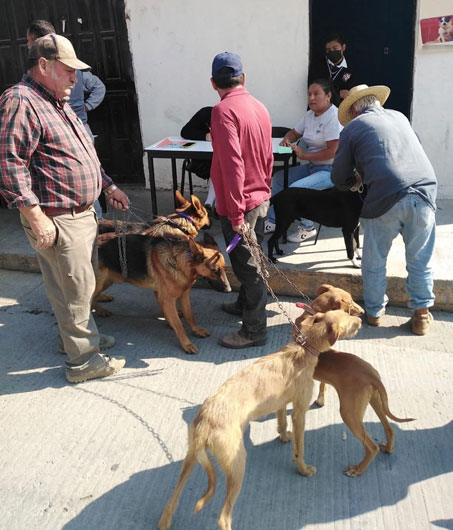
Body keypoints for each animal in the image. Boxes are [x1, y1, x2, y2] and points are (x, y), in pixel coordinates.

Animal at [94, 232, 231, 352]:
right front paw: (186, 343)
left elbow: (189, 315)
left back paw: (102, 305)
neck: (180, 261)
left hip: (108, 280)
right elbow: (179, 325)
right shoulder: (167, 299)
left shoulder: (183, 295)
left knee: (94, 298)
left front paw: (196, 330)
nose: (229, 290)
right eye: (215, 270)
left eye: (225, 268)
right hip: (100, 282)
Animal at [157, 310, 362, 528]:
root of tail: (206, 422)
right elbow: (299, 449)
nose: (361, 319)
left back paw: (165, 521)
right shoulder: (299, 412)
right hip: (237, 464)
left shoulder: (281, 402)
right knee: (223, 517)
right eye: (349, 318)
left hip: (190, 459)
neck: (303, 347)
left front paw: (284, 437)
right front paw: (304, 470)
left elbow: (281, 422)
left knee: (173, 498)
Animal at [280, 282, 414, 476]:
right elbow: (323, 384)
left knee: (371, 446)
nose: (362, 311)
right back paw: (388, 448)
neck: (312, 314)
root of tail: (371, 375)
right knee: (389, 429)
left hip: (349, 412)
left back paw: (357, 470)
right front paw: (320, 400)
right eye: (350, 302)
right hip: (374, 401)